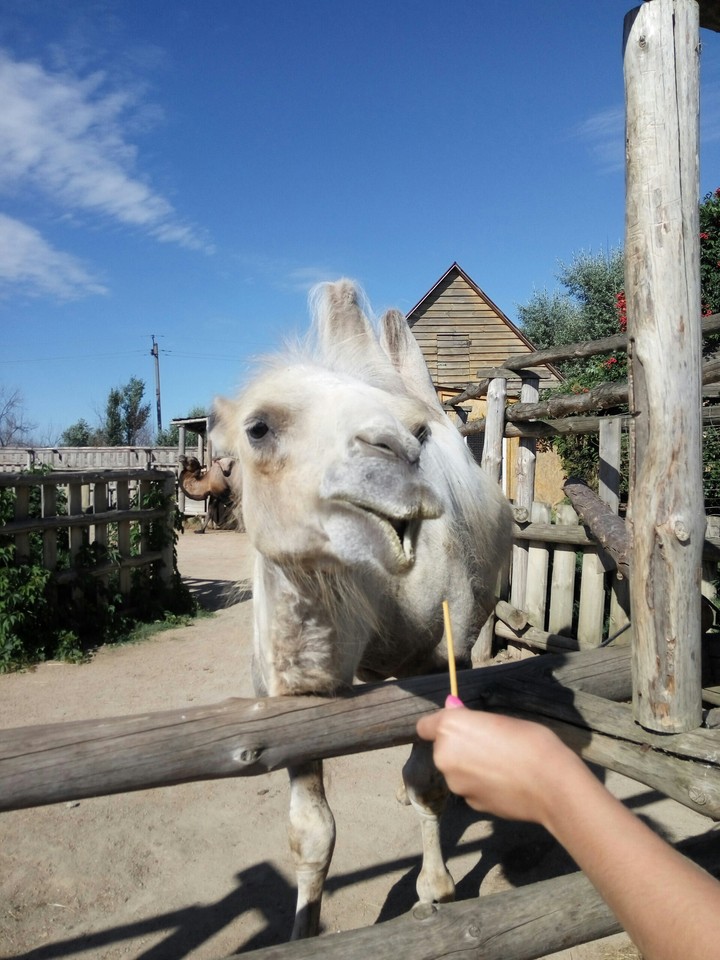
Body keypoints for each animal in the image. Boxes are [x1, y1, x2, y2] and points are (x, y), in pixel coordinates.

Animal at [213, 279, 513, 939]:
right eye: (258, 427)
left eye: (417, 434)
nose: (394, 453)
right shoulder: (291, 696)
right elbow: (311, 833)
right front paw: (301, 932)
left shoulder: (441, 655)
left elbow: (426, 783)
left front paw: (435, 891)